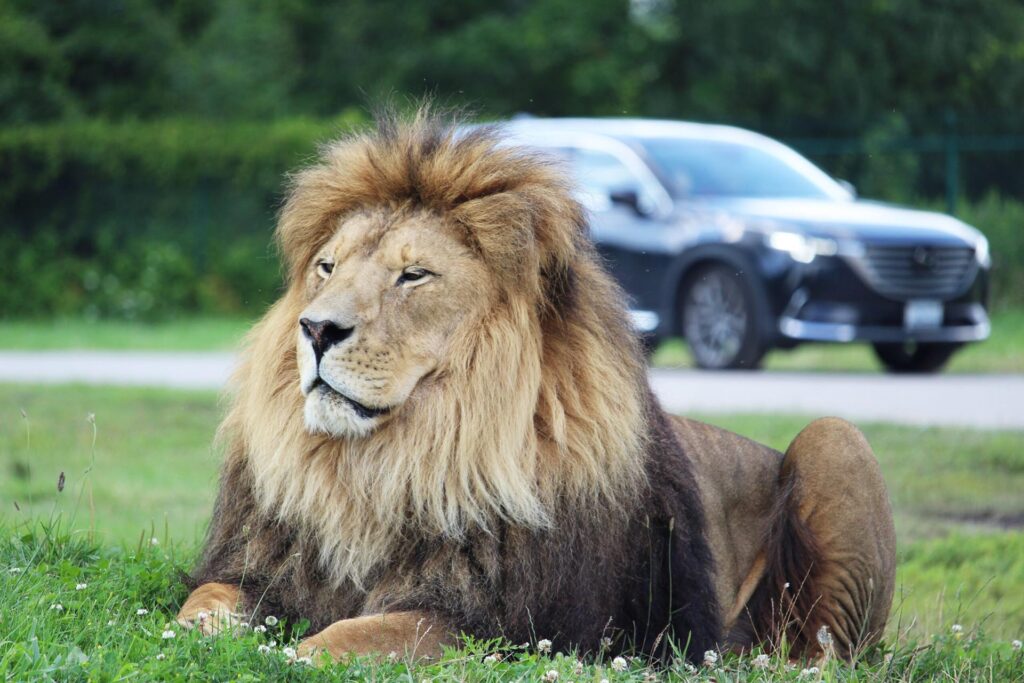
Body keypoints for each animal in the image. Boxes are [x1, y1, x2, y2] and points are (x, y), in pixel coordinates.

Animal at [177, 108, 896, 664]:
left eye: (413, 275)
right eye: (327, 267)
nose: (316, 328)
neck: (384, 468)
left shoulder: (504, 625)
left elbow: (354, 635)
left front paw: (294, 652)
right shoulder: (258, 567)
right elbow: (201, 603)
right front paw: (195, 640)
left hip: (836, 440)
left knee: (827, 651)